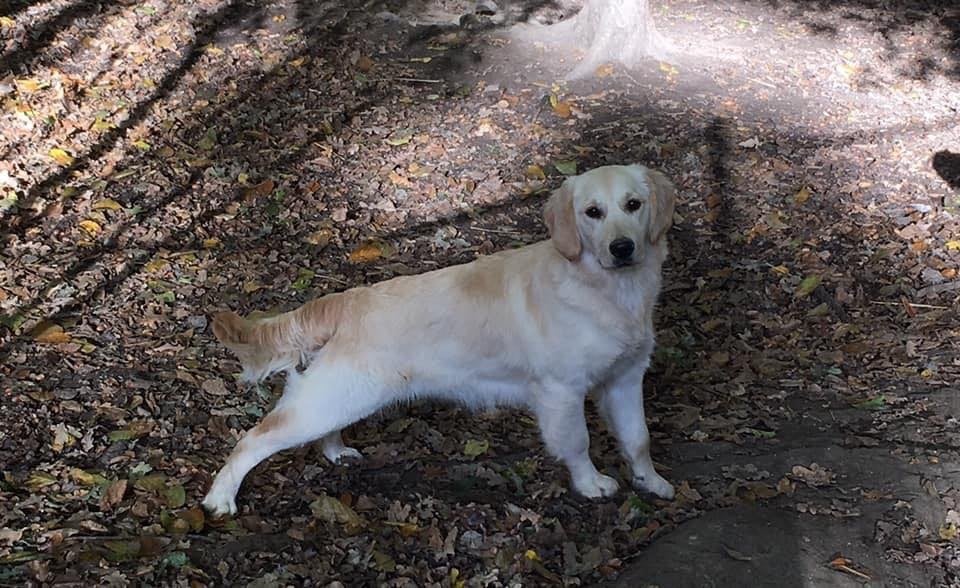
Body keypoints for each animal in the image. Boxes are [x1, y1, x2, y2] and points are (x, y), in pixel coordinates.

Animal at [202, 164, 677, 516]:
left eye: (633, 205)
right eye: (592, 212)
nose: (622, 248)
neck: (606, 290)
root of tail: (348, 299)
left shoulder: (626, 378)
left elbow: (639, 438)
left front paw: (652, 481)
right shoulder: (562, 390)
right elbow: (578, 442)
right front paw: (591, 483)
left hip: (340, 397)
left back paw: (337, 452)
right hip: (330, 399)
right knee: (252, 439)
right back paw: (220, 499)